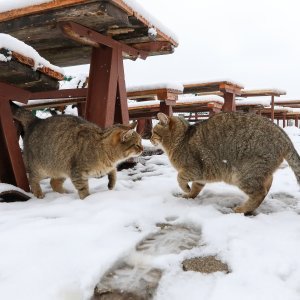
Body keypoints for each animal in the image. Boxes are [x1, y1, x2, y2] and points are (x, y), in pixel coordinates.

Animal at [10, 102, 143, 199]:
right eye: (137, 144)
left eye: (141, 142)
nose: (142, 149)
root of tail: (37, 120)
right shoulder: (77, 173)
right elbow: (83, 189)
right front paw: (88, 199)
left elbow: (114, 172)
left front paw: (111, 184)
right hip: (40, 169)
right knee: (32, 180)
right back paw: (39, 194)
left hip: (61, 168)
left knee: (54, 183)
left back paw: (65, 194)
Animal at [151, 112, 300, 213]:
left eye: (153, 132)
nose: (150, 138)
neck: (182, 138)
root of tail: (284, 135)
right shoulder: (201, 177)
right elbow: (195, 188)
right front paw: (189, 195)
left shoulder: (193, 169)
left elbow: (180, 178)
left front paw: (185, 189)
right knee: (267, 185)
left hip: (244, 175)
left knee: (259, 193)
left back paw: (242, 209)